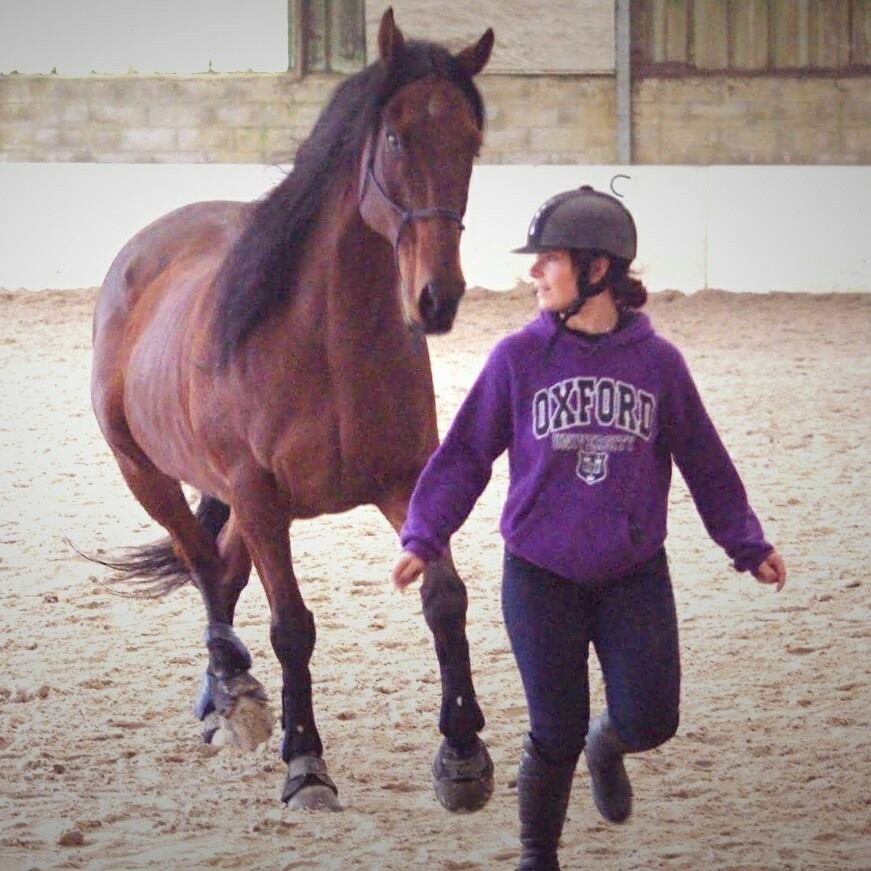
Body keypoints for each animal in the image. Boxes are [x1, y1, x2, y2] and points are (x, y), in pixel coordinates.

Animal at [89, 8, 495, 812]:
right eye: (395, 135)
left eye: (469, 140)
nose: (437, 298)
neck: (327, 342)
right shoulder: (259, 495)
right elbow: (292, 628)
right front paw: (306, 763)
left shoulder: (401, 481)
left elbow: (444, 597)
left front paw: (463, 753)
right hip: (147, 473)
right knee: (204, 566)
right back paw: (233, 692)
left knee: (222, 567)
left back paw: (222, 700)